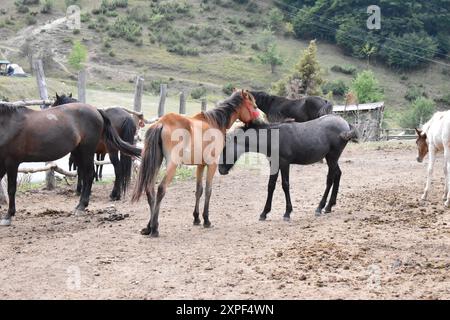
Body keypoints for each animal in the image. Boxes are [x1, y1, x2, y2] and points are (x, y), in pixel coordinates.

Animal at [0, 102, 141, 225]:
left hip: (88, 151)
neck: (7, 125)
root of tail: (96, 110)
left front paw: (8, 215)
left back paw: (82, 206)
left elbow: (11, 189)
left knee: (90, 174)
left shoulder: (12, 162)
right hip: (81, 152)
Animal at [132, 90, 258, 238]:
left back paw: (148, 227)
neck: (214, 122)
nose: (256, 124)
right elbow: (208, 190)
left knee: (150, 189)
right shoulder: (212, 164)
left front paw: (197, 218)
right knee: (161, 189)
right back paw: (155, 228)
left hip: (156, 162)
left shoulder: (200, 165)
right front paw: (206, 220)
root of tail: (161, 123)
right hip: (172, 165)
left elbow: (199, 190)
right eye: (254, 106)